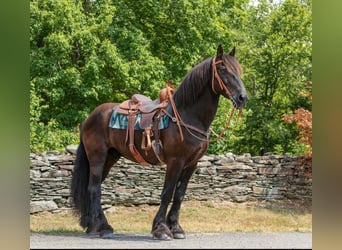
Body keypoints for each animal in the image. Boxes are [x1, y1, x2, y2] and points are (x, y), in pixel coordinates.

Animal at [71, 45, 247, 240]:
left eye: (239, 70)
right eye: (223, 69)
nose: (242, 98)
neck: (186, 115)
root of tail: (89, 118)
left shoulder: (191, 164)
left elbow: (179, 195)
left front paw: (176, 228)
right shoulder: (175, 161)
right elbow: (167, 193)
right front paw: (161, 229)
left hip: (110, 157)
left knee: (92, 187)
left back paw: (91, 225)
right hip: (97, 156)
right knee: (94, 188)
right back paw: (103, 228)